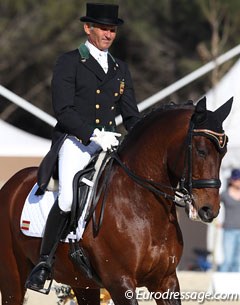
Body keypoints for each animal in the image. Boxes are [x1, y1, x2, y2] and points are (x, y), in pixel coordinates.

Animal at [0, 95, 232, 304]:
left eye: (224, 152)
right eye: (201, 151)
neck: (142, 207)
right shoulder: (120, 282)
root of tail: (12, 183)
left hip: (81, 283)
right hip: (13, 278)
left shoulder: (166, 281)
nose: (209, 210)